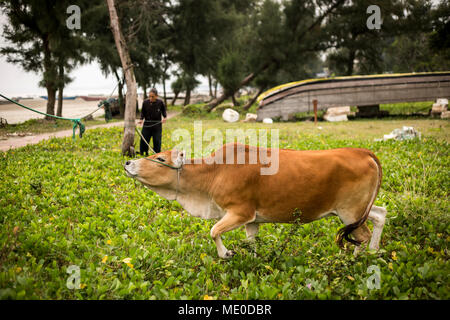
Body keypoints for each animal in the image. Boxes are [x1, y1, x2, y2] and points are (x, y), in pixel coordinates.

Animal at [123, 144, 386, 258]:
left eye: (160, 158)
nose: (128, 162)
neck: (214, 172)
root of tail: (363, 152)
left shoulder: (240, 213)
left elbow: (213, 231)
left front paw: (226, 254)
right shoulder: (252, 221)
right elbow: (251, 243)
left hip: (349, 212)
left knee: (361, 236)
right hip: (358, 211)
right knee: (380, 215)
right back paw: (374, 251)